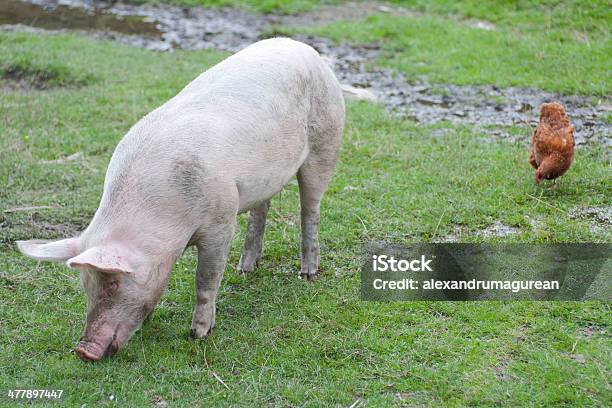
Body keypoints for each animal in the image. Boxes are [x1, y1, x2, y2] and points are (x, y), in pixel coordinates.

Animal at [15, 38, 344, 362]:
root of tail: (304, 48)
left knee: (310, 209)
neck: (168, 221)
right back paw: (245, 269)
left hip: (326, 142)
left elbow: (206, 280)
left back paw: (307, 273)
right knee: (262, 209)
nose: (83, 350)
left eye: (113, 282)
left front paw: (198, 334)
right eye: (87, 285)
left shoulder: (221, 221)